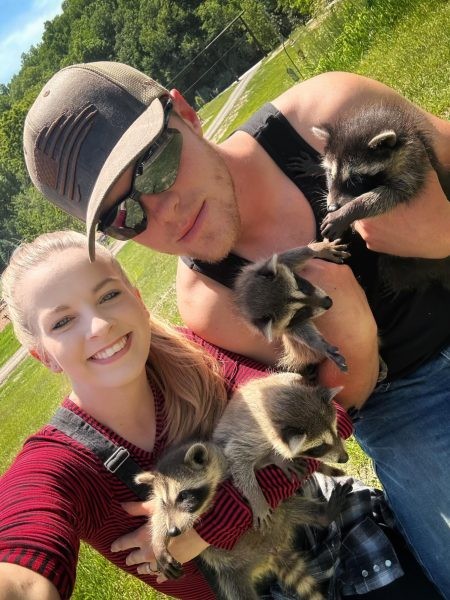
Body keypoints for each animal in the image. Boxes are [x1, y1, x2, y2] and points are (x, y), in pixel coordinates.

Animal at [137, 438, 352, 596]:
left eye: (183, 496)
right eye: (164, 502)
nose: (174, 531)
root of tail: (272, 550)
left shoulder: (229, 459)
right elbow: (158, 517)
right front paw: (158, 543)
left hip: (280, 514)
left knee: (295, 507)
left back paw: (322, 514)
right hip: (232, 572)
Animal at [213, 372, 346, 528]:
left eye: (335, 430)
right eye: (319, 448)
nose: (345, 458)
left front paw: (280, 459)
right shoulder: (254, 433)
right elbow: (236, 456)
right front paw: (257, 498)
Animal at [234, 237, 350, 372]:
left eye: (302, 286)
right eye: (300, 312)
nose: (329, 303)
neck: (242, 295)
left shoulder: (258, 267)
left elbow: (290, 256)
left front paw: (319, 249)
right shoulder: (280, 327)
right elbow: (299, 330)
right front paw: (319, 344)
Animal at [312, 102, 450, 294]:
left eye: (355, 180)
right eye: (330, 175)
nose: (332, 207)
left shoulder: (412, 166)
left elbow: (388, 196)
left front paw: (349, 210)